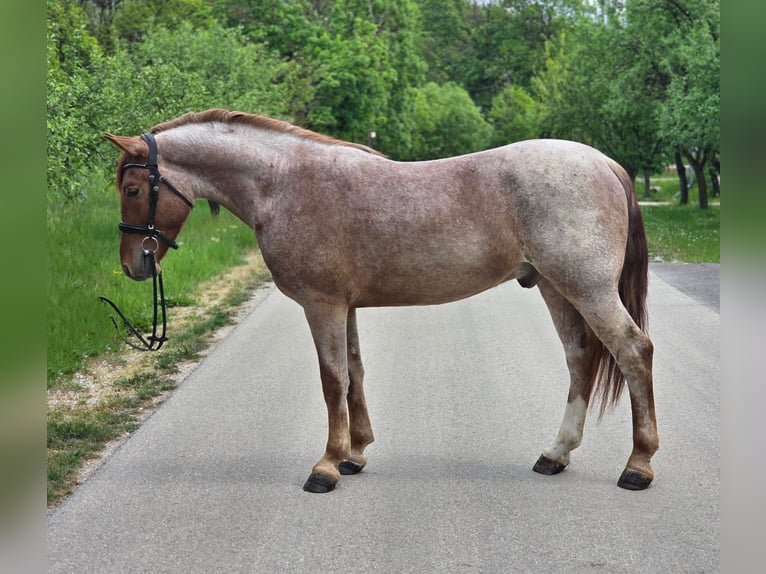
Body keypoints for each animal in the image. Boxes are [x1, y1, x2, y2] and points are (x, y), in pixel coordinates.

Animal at [105, 108, 658, 493]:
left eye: (132, 188)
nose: (134, 265)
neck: (283, 184)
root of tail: (605, 163)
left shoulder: (322, 304)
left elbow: (332, 381)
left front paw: (326, 467)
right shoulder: (344, 306)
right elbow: (354, 373)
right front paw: (355, 454)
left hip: (586, 289)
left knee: (634, 352)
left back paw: (638, 465)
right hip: (554, 288)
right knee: (580, 359)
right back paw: (556, 454)